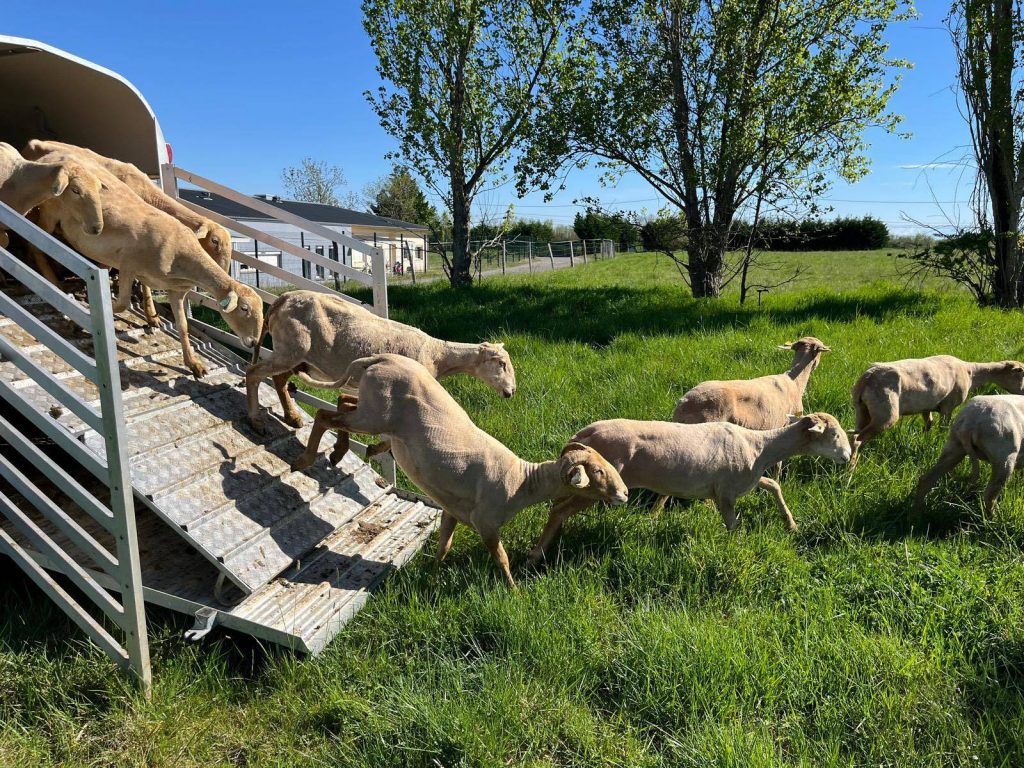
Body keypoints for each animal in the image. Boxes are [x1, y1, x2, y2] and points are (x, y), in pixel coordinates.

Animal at [32, 154, 262, 378]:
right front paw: (86, 310)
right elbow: (122, 303)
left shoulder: (175, 292)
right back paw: (52, 279)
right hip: (49, 214)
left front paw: (193, 364)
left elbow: (183, 326)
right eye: (244, 308)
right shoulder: (127, 265)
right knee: (34, 243)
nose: (253, 342)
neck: (182, 257)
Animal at [245, 290, 516, 435]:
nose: (512, 391)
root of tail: (281, 299)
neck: (437, 354)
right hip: (291, 348)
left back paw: (292, 417)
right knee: (253, 372)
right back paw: (256, 421)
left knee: (277, 379)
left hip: (296, 357)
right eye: (501, 364)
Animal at [290, 353, 628, 587]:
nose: (624, 493)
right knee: (323, 415)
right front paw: (513, 589)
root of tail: (381, 357)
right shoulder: (486, 522)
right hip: (374, 415)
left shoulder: (451, 509)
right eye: (598, 472)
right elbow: (502, 558)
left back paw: (339, 450)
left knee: (341, 401)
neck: (522, 481)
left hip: (370, 407)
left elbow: (444, 545)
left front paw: (432, 575)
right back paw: (306, 459)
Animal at [528, 412, 851, 562]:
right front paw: (739, 551)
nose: (848, 456)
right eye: (835, 434)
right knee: (559, 510)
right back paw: (536, 555)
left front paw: (791, 524)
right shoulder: (726, 492)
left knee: (557, 505)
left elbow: (773, 486)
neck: (760, 447)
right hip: (600, 485)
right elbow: (733, 526)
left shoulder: (745, 480)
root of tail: (581, 434)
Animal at [850, 355, 1024, 467]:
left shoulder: (927, 406)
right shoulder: (948, 405)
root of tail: (868, 377)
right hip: (885, 413)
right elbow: (943, 428)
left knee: (856, 436)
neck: (971, 373)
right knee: (858, 438)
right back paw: (851, 468)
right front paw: (938, 443)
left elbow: (929, 424)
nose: (1022, 393)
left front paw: (925, 441)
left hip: (862, 410)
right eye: (1022, 374)